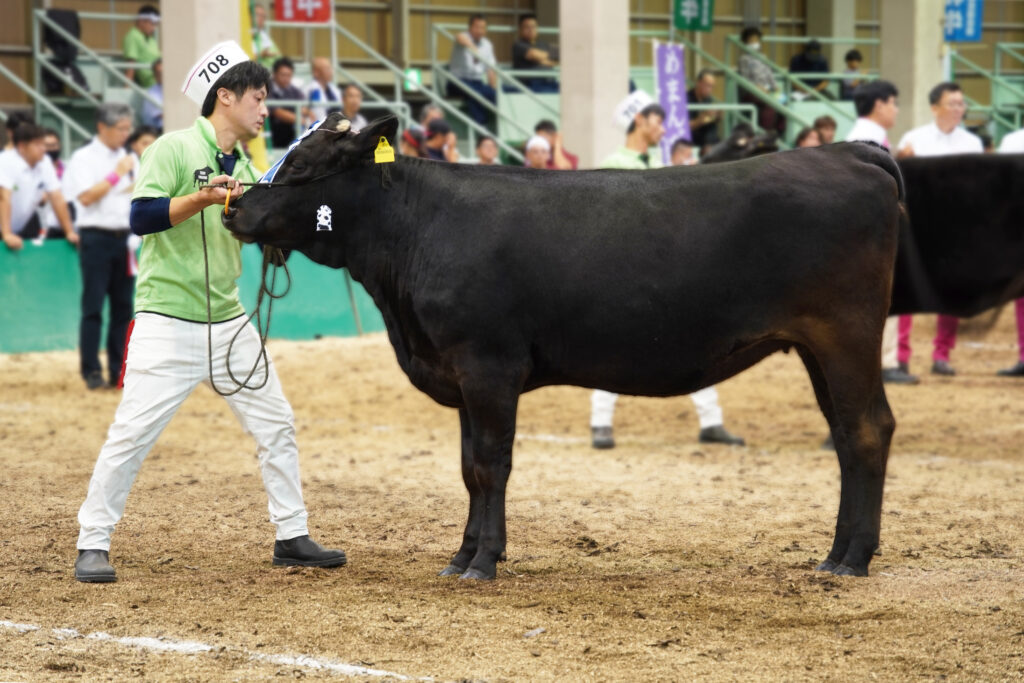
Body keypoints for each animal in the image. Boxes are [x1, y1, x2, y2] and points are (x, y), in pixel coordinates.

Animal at [222, 114, 905, 581]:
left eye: (303, 167)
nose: (233, 209)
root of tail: (850, 152)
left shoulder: (488, 365)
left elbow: (490, 465)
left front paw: (483, 562)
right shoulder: (461, 374)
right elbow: (467, 469)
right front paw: (461, 555)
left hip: (845, 334)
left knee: (867, 429)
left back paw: (851, 559)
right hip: (814, 347)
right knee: (847, 435)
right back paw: (838, 553)